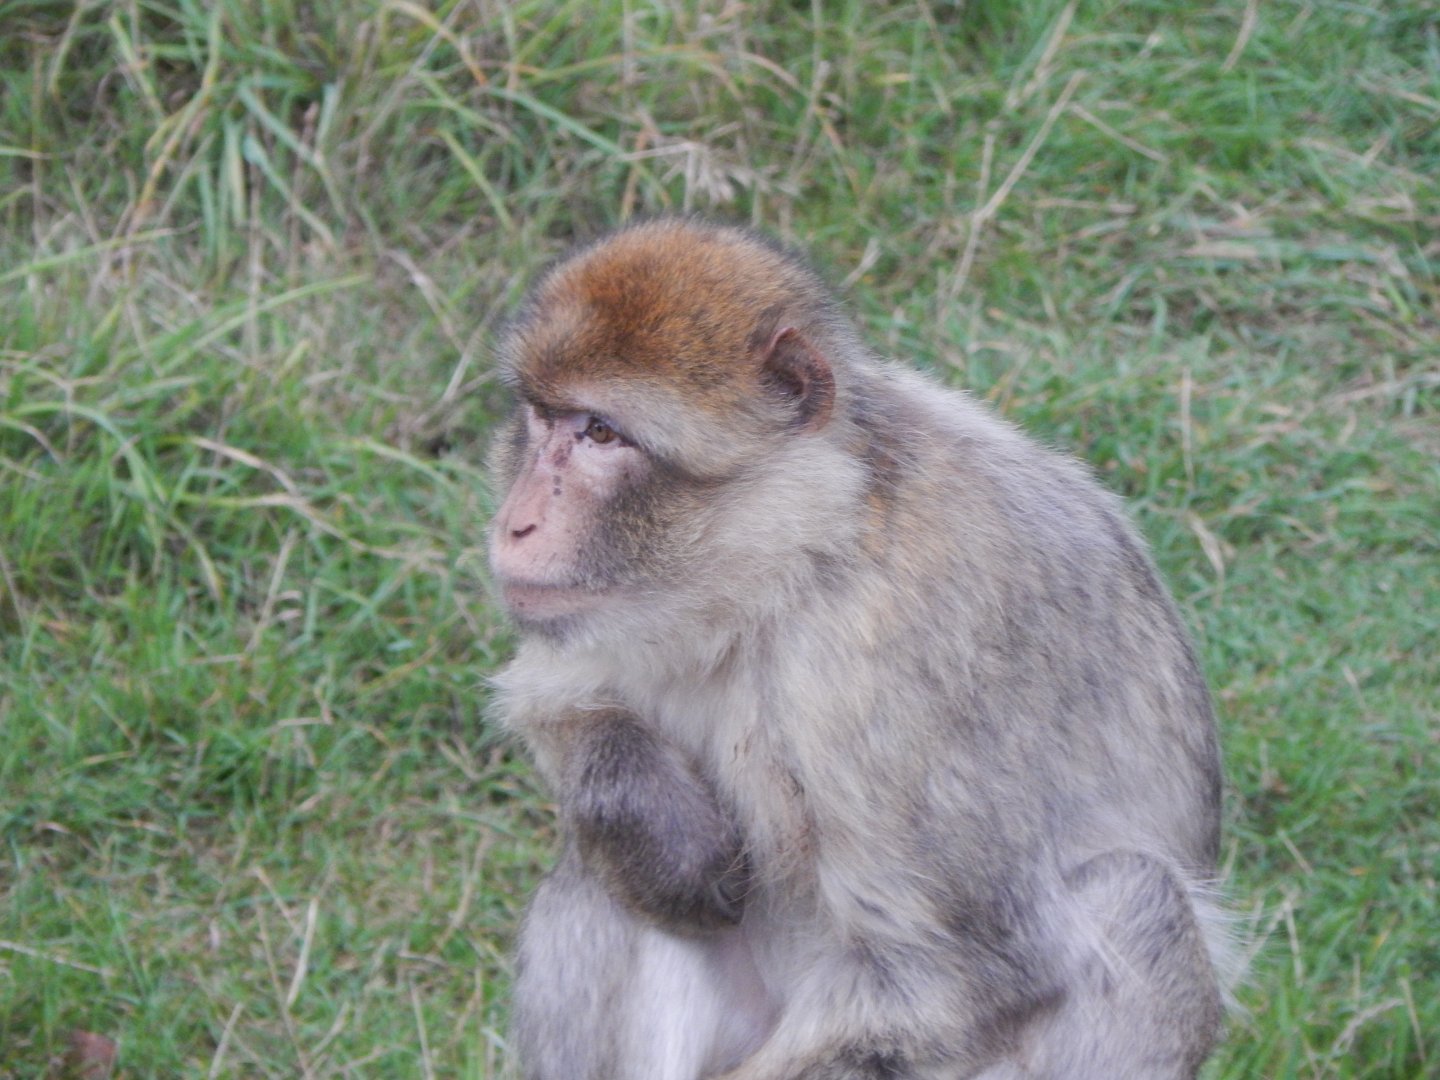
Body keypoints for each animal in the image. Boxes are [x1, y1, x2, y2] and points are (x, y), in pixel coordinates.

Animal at [486, 218, 1229, 1079]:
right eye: (541, 417)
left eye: (601, 433)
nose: (515, 522)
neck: (800, 557)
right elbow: (558, 697)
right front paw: (650, 821)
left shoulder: (889, 669)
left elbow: (958, 982)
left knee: (1141, 898)